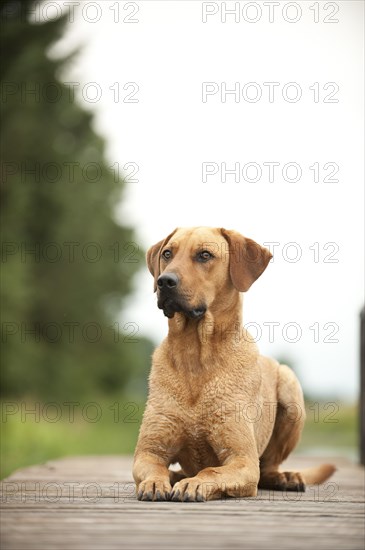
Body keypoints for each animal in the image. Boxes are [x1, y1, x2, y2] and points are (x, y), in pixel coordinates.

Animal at [132, 226, 334, 502]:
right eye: (167, 253)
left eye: (205, 255)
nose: (164, 281)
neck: (196, 355)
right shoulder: (149, 451)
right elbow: (154, 467)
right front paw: (155, 482)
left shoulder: (242, 459)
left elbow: (211, 470)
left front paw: (195, 483)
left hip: (291, 391)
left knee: (268, 467)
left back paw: (286, 477)